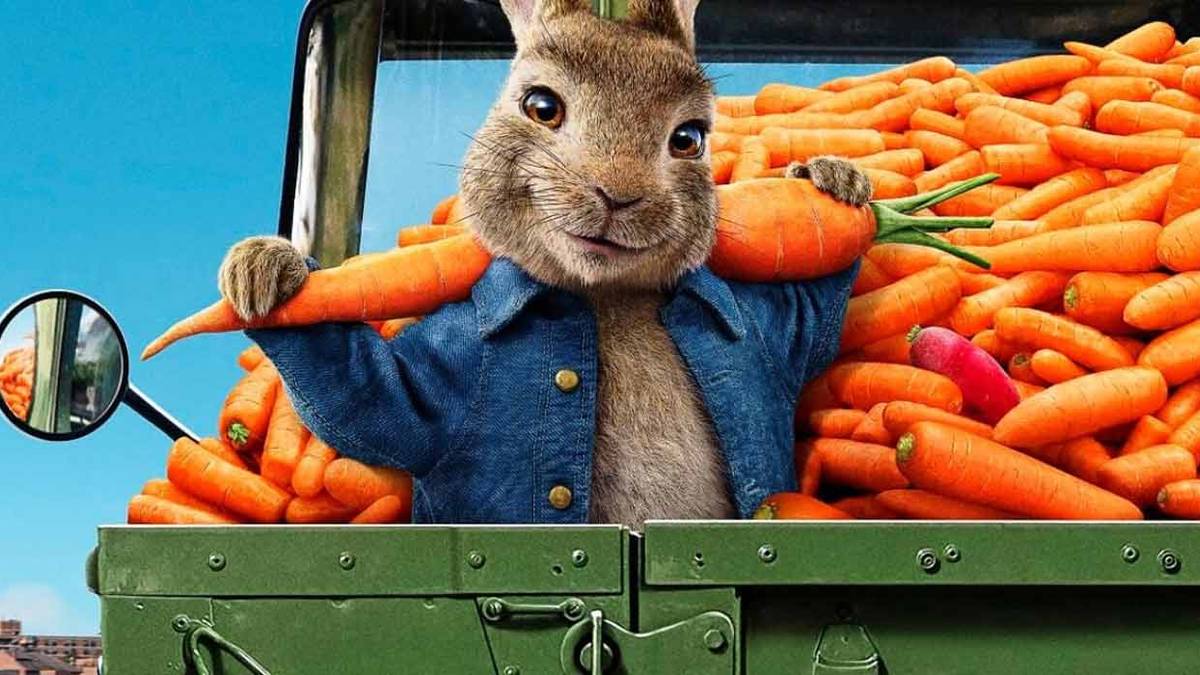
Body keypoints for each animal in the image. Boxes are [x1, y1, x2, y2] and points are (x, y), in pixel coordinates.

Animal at [218, 0, 871, 528]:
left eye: (689, 138)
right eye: (541, 106)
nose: (618, 194)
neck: (605, 297)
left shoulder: (768, 335)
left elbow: (812, 316)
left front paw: (833, 180)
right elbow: (370, 400)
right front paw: (264, 269)